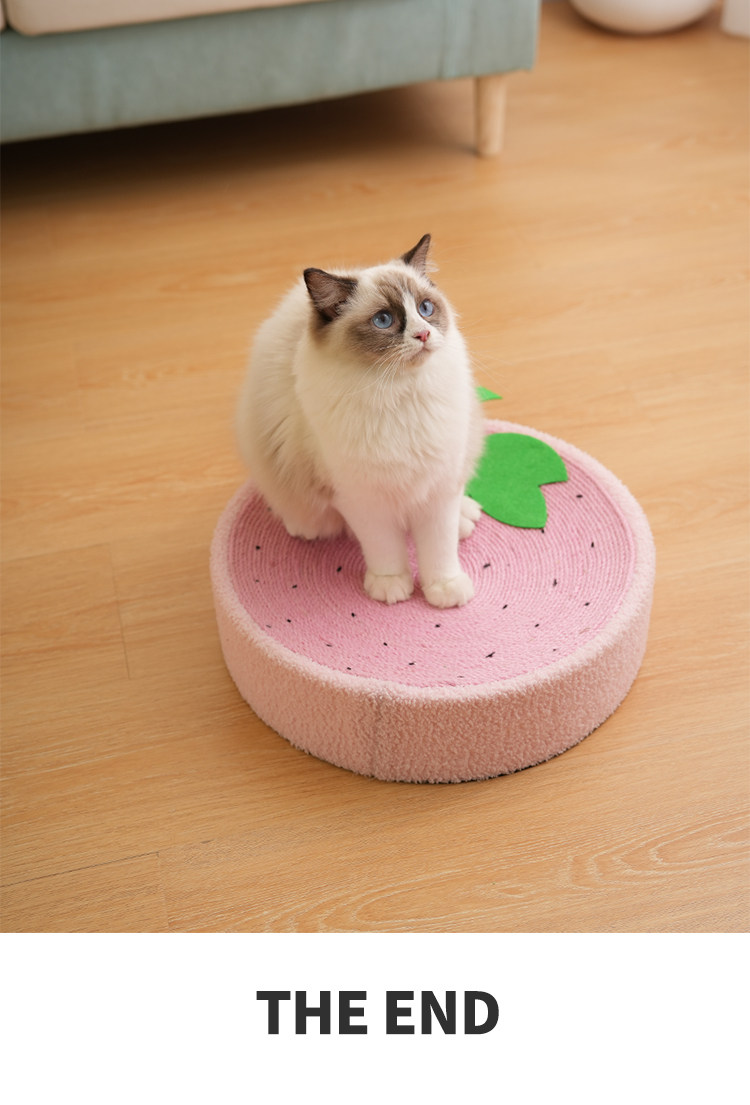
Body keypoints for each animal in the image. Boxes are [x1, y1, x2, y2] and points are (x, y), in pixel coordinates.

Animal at [236, 234, 484, 608]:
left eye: (425, 309)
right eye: (383, 320)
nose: (423, 334)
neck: (399, 396)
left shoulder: (438, 489)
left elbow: (439, 552)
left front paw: (445, 591)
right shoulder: (361, 497)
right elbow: (385, 549)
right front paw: (392, 587)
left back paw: (465, 519)